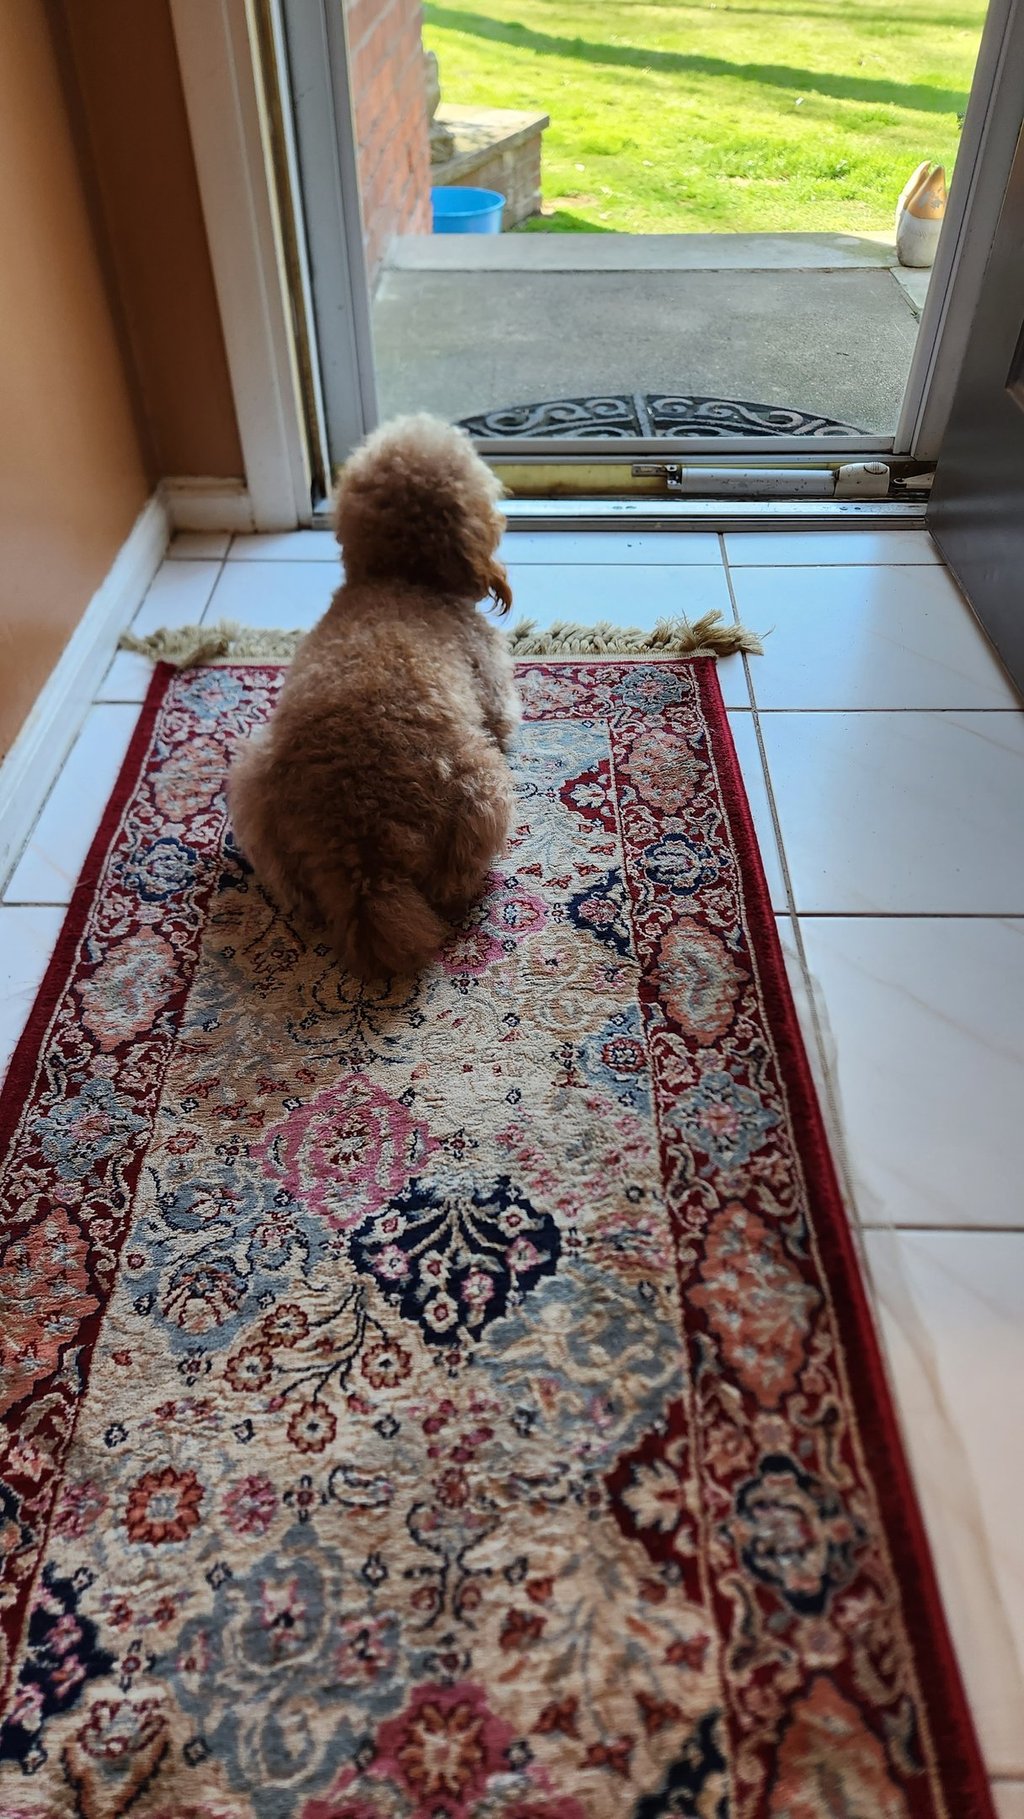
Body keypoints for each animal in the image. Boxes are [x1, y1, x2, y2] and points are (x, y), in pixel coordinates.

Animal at [228, 414, 519, 978]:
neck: (400, 577)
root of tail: (362, 851)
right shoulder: (490, 677)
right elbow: (504, 716)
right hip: (484, 786)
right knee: (452, 879)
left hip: (252, 787)